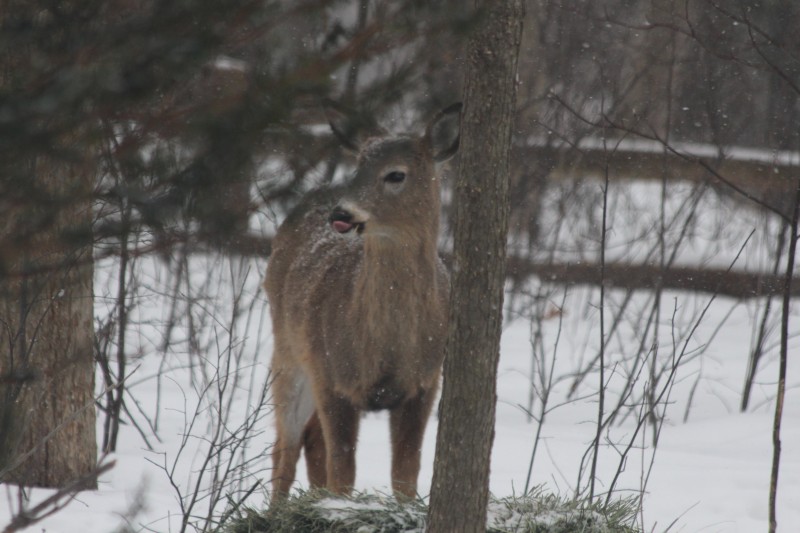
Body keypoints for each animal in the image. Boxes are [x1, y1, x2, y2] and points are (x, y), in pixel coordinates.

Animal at [264, 103, 462, 498]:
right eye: (357, 168)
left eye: (396, 174)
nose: (340, 213)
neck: (385, 346)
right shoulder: (332, 376)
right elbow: (344, 472)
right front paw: (340, 505)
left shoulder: (424, 382)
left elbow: (405, 472)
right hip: (289, 351)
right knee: (285, 448)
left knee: (309, 441)